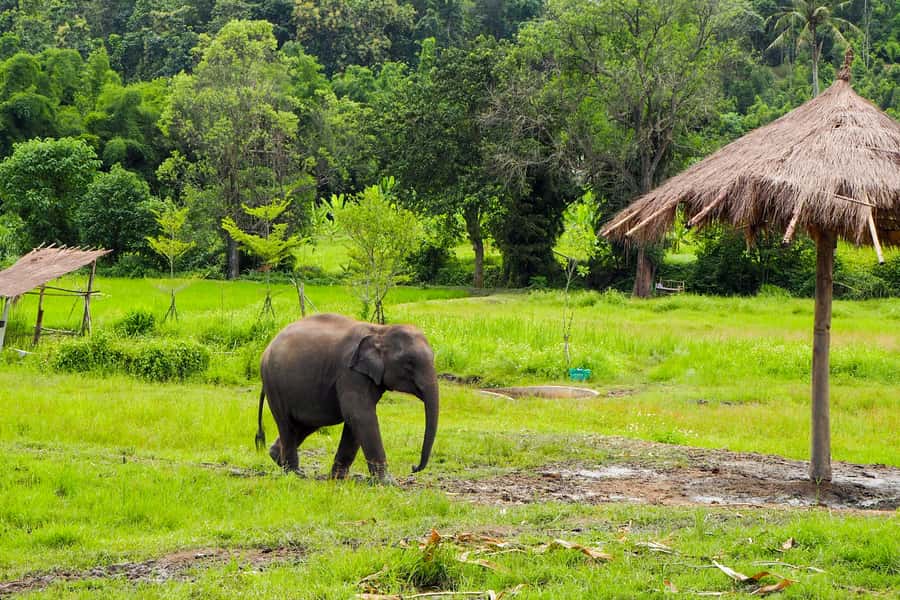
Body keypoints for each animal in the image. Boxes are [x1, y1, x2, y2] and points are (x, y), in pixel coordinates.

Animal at [254, 312, 439, 484]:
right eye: (409, 363)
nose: (414, 467)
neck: (381, 331)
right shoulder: (349, 373)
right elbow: (359, 415)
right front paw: (387, 483)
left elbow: (355, 420)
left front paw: (338, 479)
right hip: (274, 384)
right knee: (287, 424)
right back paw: (295, 473)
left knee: (304, 423)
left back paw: (278, 458)